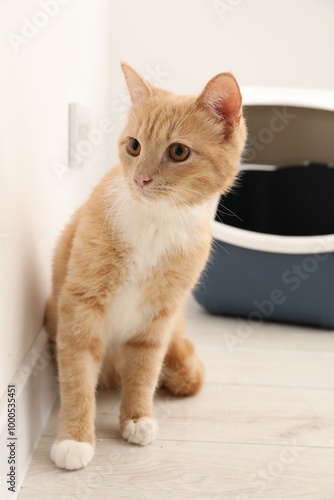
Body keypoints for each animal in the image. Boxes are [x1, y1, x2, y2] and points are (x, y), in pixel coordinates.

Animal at [45, 61, 247, 468]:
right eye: (133, 145)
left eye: (179, 151)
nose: (140, 178)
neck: (157, 224)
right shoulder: (79, 305)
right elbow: (77, 377)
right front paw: (74, 439)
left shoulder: (160, 316)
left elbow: (144, 370)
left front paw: (137, 418)